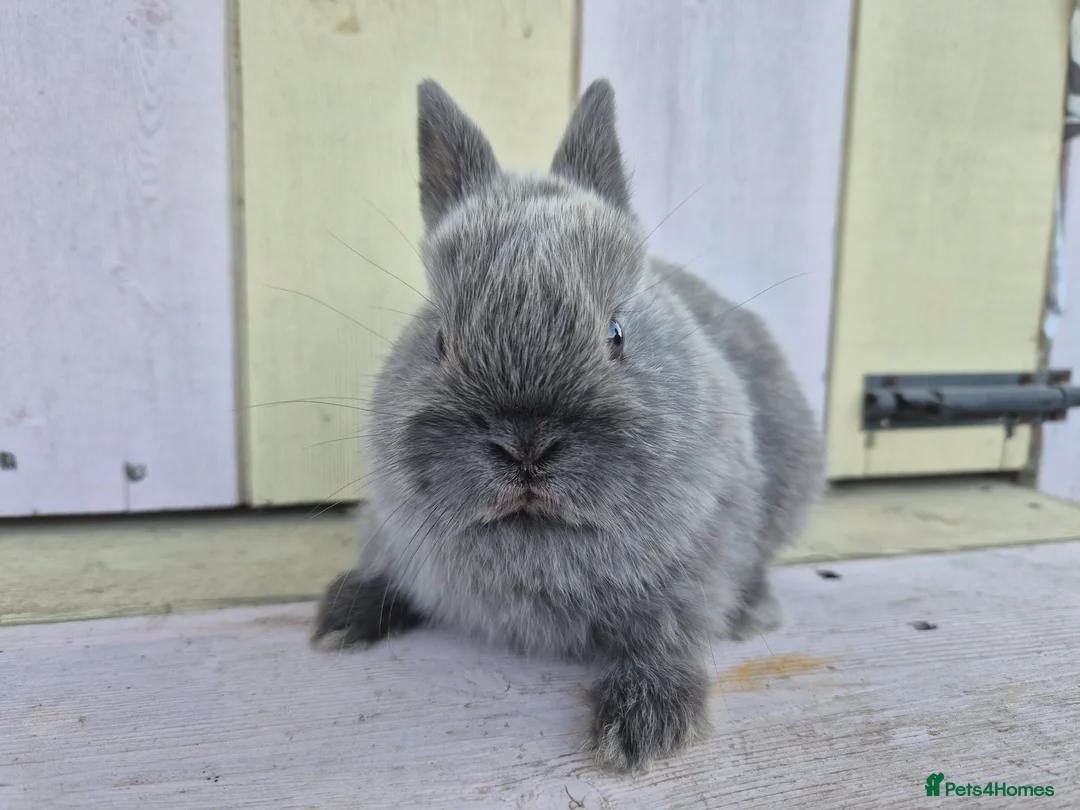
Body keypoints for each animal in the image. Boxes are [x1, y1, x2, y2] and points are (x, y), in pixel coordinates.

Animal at [312, 77, 825, 773]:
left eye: (616, 333)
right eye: (439, 338)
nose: (525, 445)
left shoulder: (697, 568)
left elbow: (666, 637)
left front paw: (641, 728)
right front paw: (342, 618)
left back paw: (753, 616)